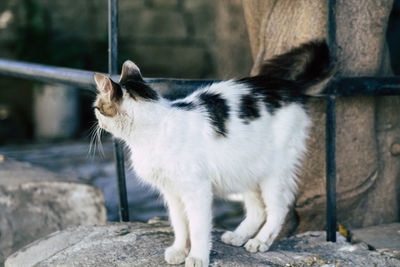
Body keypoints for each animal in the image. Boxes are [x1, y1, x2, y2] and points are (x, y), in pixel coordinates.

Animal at [93, 40, 332, 266]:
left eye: (97, 108)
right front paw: (180, 251)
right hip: (246, 170)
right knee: (258, 210)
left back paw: (260, 241)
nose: (96, 120)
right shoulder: (172, 192)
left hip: (273, 171)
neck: (156, 127)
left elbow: (198, 228)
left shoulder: (197, 190)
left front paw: (197, 257)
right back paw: (238, 236)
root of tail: (287, 86)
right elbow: (180, 225)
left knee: (278, 208)